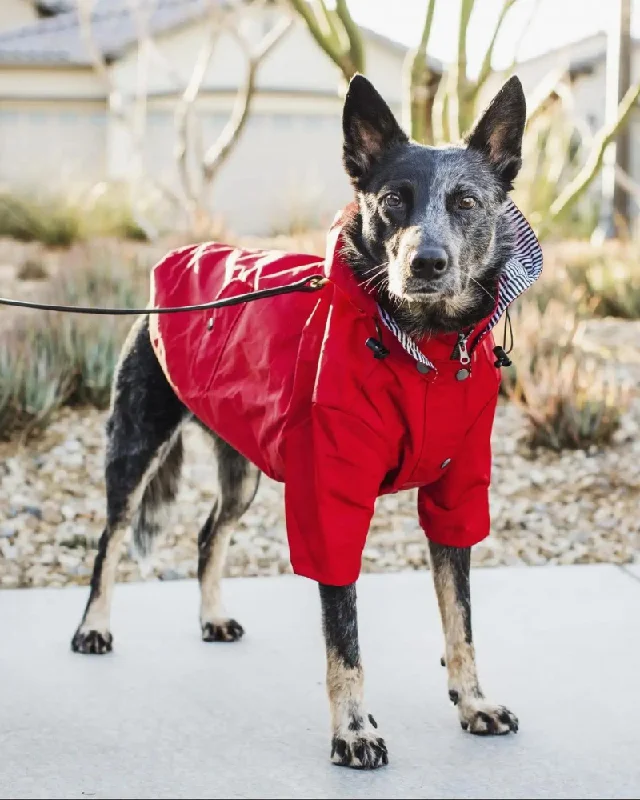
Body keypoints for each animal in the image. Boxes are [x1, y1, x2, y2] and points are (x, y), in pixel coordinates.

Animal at [71, 73, 540, 768]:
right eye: (393, 202)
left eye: (466, 202)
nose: (425, 263)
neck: (422, 348)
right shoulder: (329, 501)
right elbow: (344, 641)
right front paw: (354, 730)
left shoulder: (455, 497)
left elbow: (461, 622)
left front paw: (474, 701)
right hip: (135, 446)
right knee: (109, 540)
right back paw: (94, 627)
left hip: (242, 471)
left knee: (209, 534)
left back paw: (212, 617)